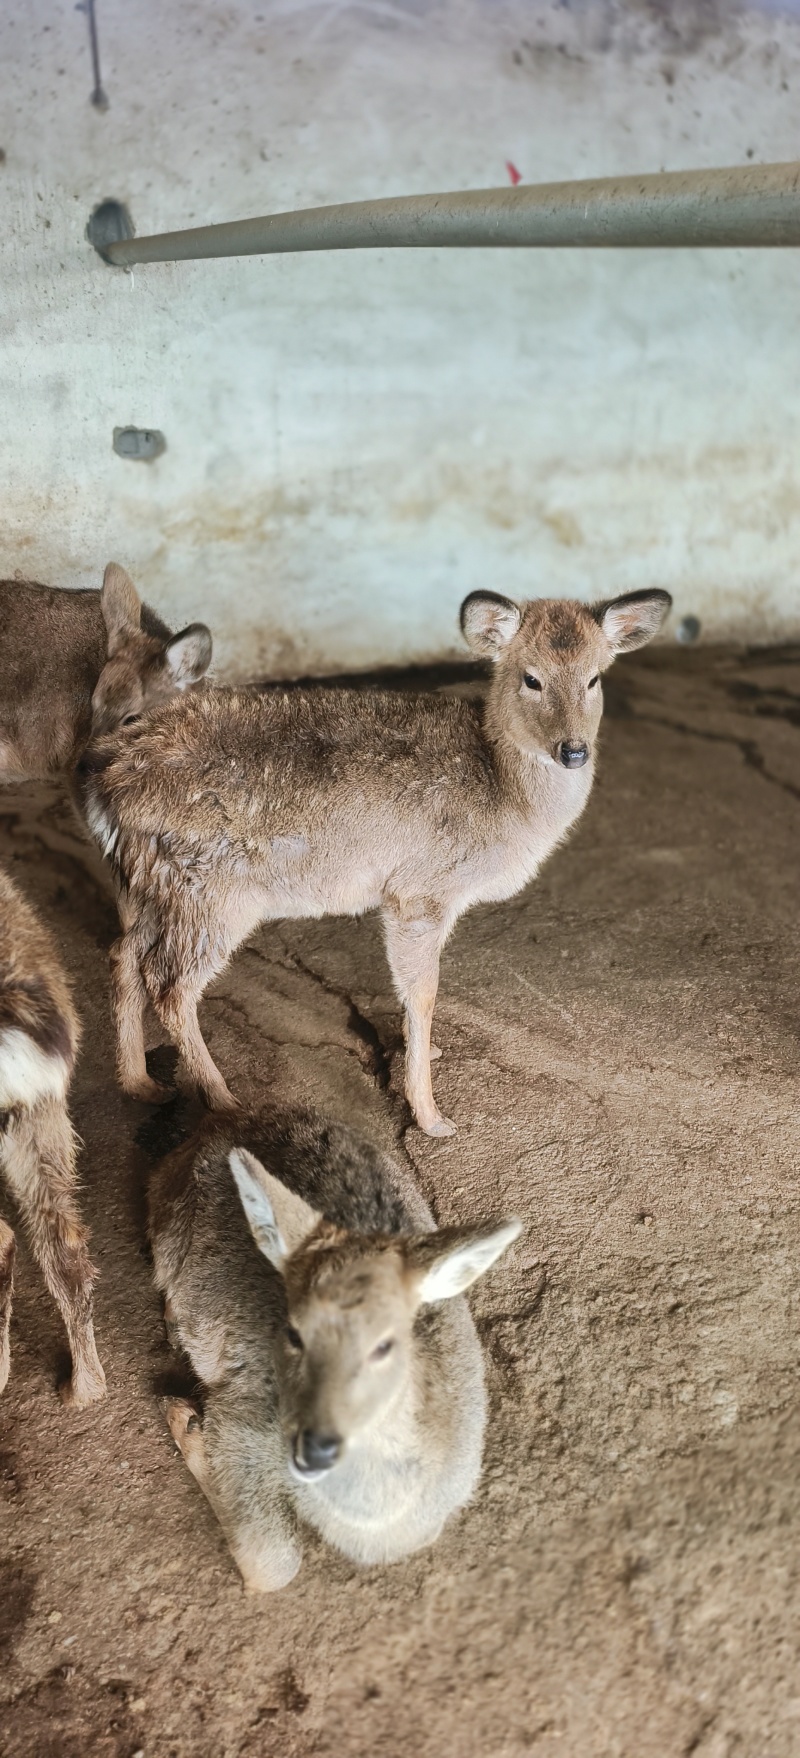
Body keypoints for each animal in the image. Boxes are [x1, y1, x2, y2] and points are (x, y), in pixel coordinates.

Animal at [81, 587, 671, 1137]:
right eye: (531, 679)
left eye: (595, 678)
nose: (574, 751)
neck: (505, 795)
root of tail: (104, 786)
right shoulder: (421, 890)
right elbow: (424, 991)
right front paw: (431, 1115)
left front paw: (424, 1056)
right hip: (212, 891)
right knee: (169, 985)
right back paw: (224, 1100)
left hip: (152, 885)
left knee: (123, 954)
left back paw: (140, 1082)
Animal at [148, 1104, 521, 1590]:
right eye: (293, 1332)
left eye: (386, 1343)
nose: (316, 1445)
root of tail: (226, 1118)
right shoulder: (241, 1424)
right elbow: (273, 1566)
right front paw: (183, 1418)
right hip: (168, 1223)